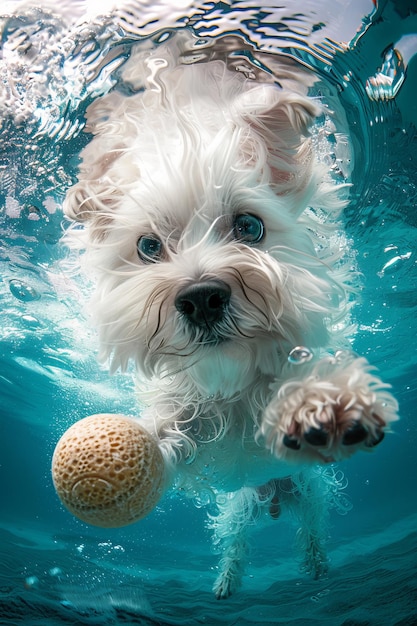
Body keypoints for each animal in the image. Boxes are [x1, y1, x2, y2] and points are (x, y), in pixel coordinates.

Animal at [63, 37, 398, 596]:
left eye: (249, 226)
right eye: (148, 246)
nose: (201, 298)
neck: (231, 382)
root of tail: (272, 496)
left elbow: (300, 381)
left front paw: (318, 404)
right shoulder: (190, 422)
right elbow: (167, 432)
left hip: (311, 491)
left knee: (311, 528)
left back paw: (316, 567)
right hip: (237, 512)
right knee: (236, 546)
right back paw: (226, 582)